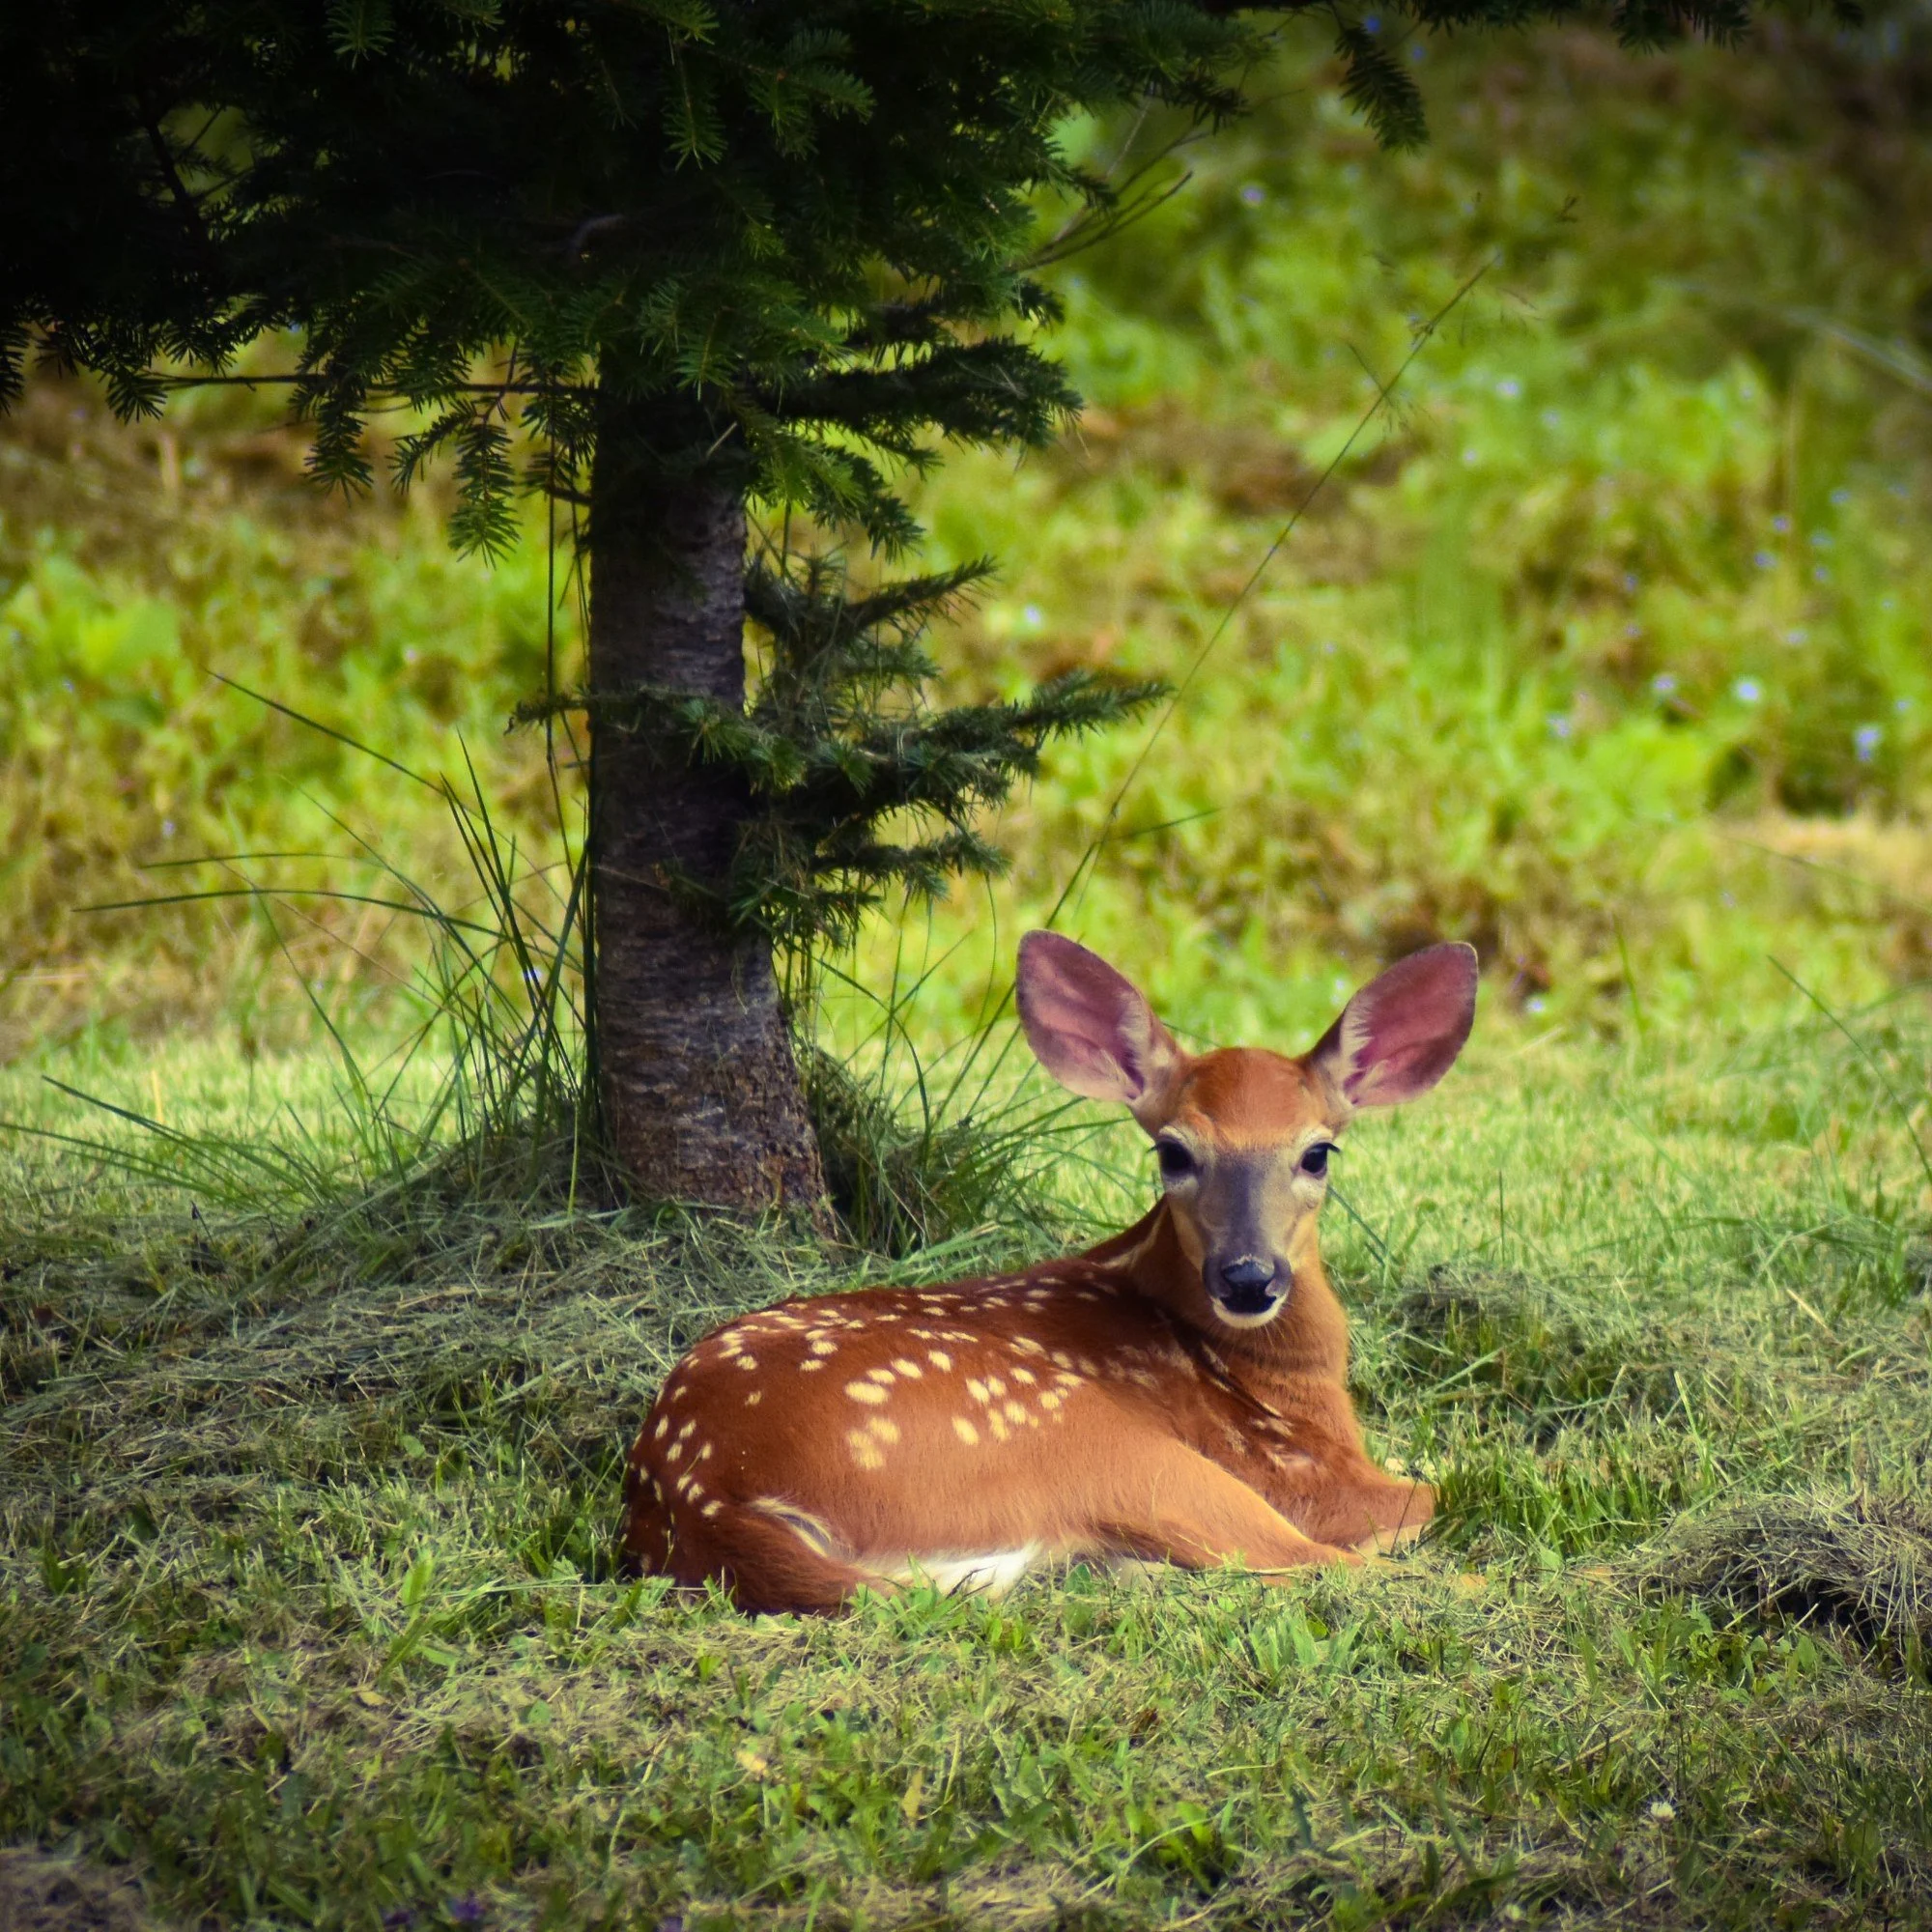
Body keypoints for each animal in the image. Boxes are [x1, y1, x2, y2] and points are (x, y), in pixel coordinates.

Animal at [620, 931, 1478, 1613]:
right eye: (1173, 1152)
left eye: (1317, 1153)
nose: (1247, 1277)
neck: (1288, 1385)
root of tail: (704, 1497)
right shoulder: (1287, 1469)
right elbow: (1423, 1494)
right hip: (1090, 1438)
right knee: (1308, 1563)